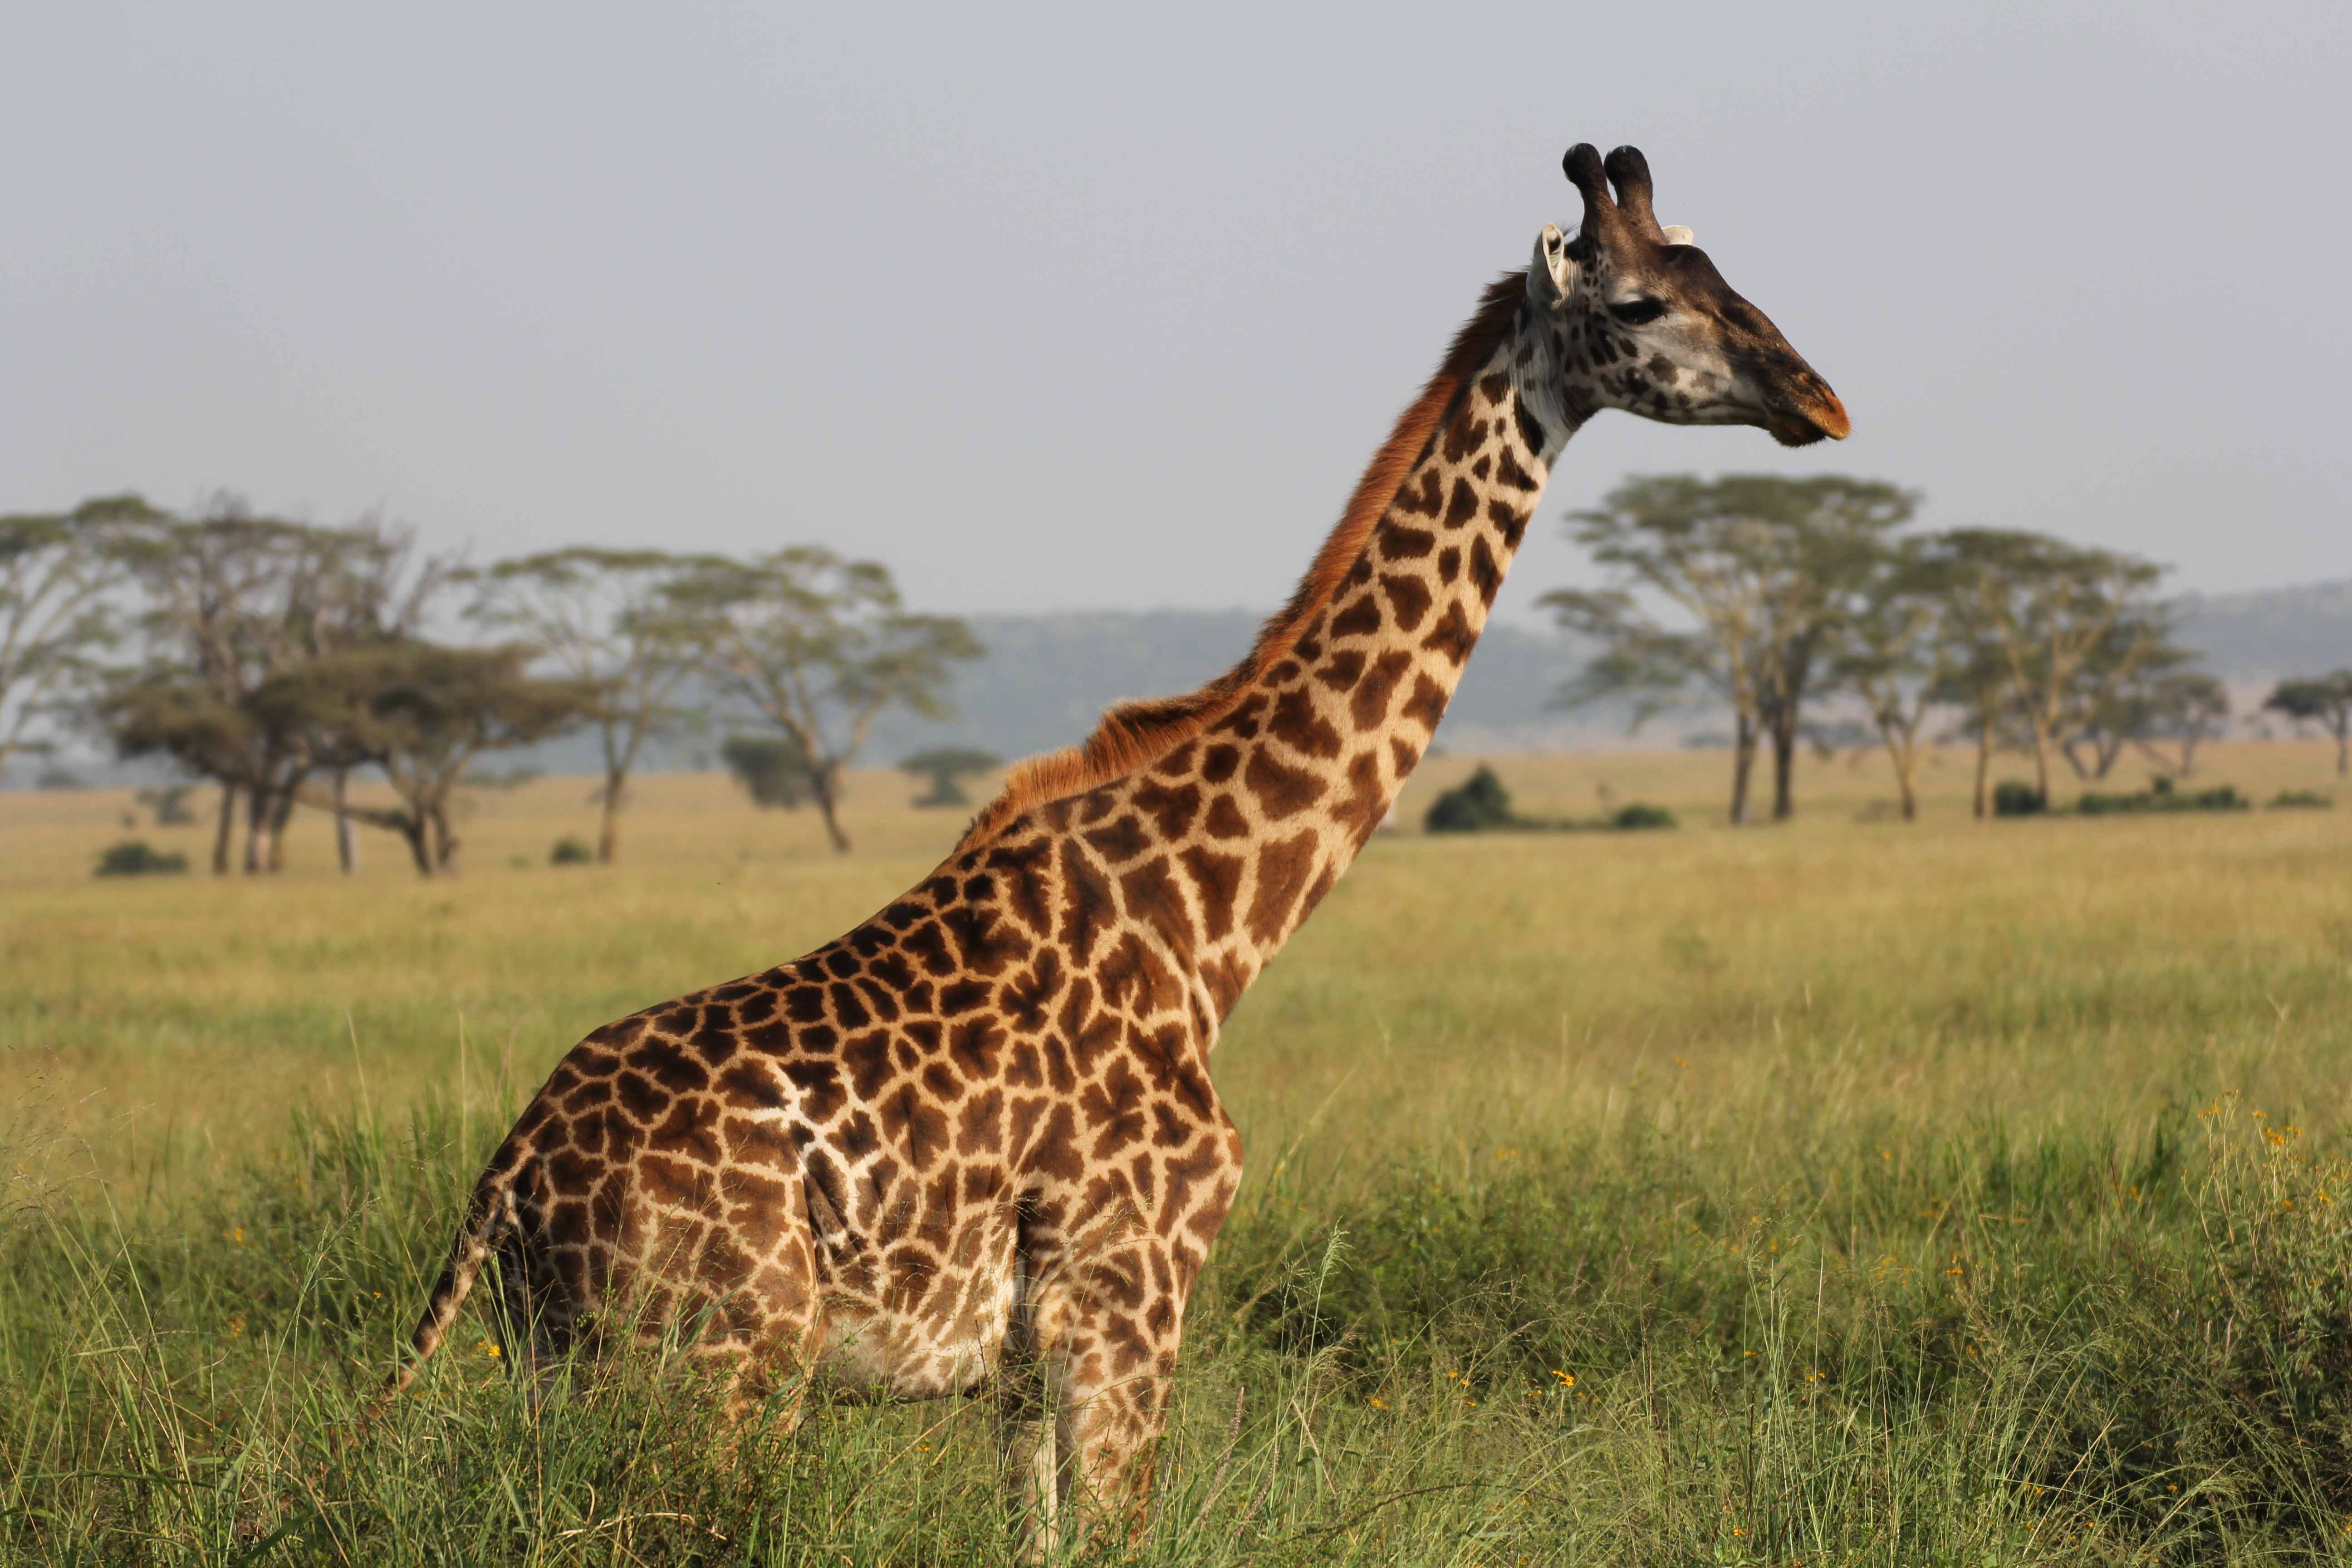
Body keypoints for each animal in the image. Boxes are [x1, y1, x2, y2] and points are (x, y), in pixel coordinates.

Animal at [385, 142, 1847, 1549]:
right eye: (1641, 301)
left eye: (1722, 265)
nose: (1818, 399)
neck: (1206, 924)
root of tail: (508, 1179)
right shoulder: (1129, 1292)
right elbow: (1118, 1531)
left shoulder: (1029, 1353)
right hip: (728, 1364)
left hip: (572, 1369)